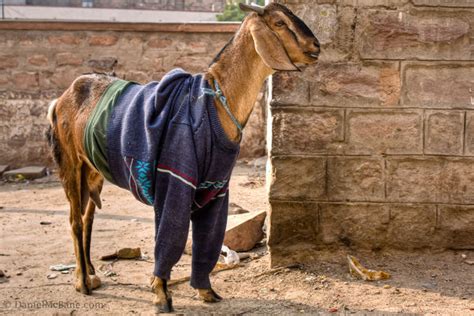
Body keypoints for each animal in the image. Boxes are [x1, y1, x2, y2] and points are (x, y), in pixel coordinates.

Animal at [47, 3, 318, 314]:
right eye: (279, 22)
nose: (316, 46)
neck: (215, 101)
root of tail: (60, 100)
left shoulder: (216, 184)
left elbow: (208, 236)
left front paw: (206, 291)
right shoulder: (174, 176)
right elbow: (170, 234)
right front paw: (162, 295)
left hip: (93, 169)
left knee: (88, 216)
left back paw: (91, 272)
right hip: (70, 162)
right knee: (75, 220)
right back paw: (82, 282)